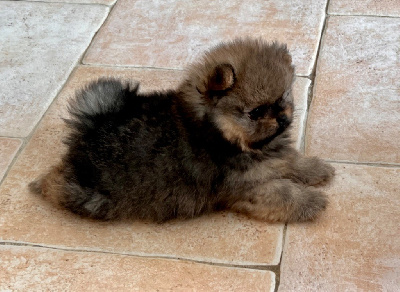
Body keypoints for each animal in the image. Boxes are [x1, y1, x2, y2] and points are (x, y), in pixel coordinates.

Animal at [28, 38, 334, 221]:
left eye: (284, 98)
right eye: (256, 112)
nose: (281, 118)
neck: (221, 133)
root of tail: (91, 125)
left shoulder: (271, 159)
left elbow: (290, 161)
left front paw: (315, 169)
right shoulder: (245, 185)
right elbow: (283, 192)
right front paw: (310, 201)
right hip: (93, 198)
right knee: (60, 186)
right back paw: (42, 183)